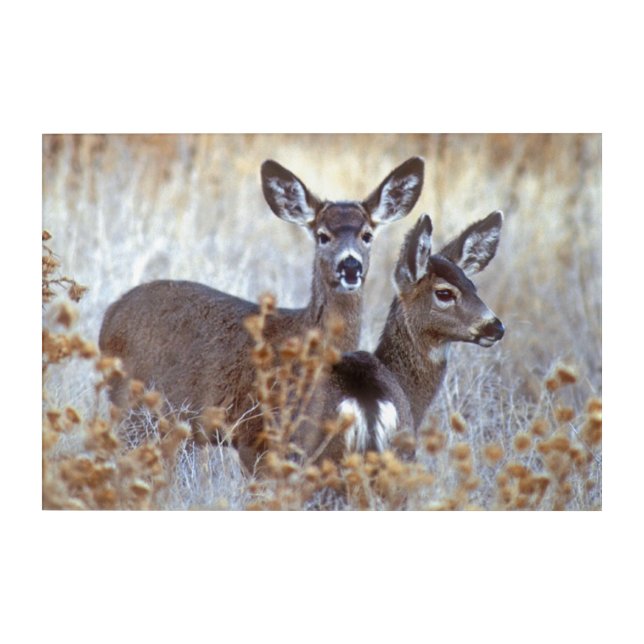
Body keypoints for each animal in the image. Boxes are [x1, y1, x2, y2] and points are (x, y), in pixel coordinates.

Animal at [98, 157, 425, 471]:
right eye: (322, 235)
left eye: (367, 235)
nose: (350, 266)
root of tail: (111, 313)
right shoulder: (254, 433)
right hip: (130, 405)